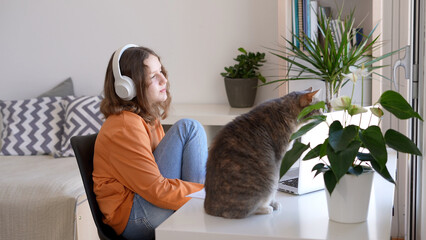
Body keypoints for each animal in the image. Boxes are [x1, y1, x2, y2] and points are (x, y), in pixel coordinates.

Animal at [205, 88, 318, 219]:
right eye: (318, 108)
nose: (325, 112)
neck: (285, 110)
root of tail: (210, 209)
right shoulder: (278, 159)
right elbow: (275, 188)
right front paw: (272, 203)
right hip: (267, 178)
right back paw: (265, 208)